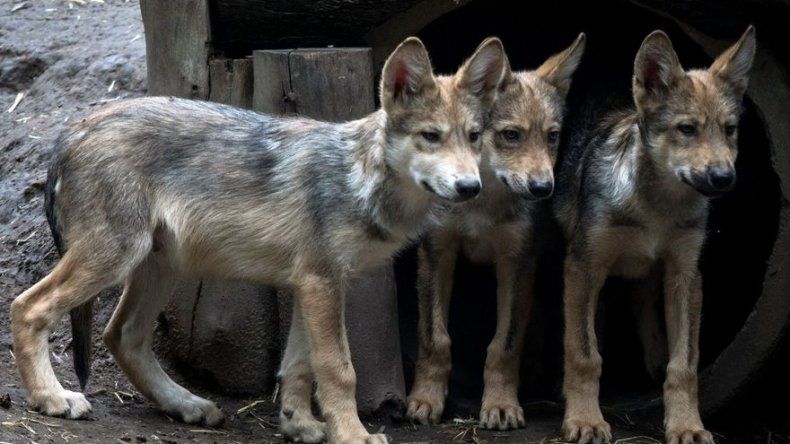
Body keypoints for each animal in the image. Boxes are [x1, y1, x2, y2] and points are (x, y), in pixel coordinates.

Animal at [10, 37, 510, 444]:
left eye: (474, 137)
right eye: (431, 137)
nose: (470, 188)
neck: (359, 178)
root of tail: (76, 127)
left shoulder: (315, 285)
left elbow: (299, 367)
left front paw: (300, 426)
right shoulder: (322, 282)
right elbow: (339, 370)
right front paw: (354, 435)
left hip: (160, 266)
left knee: (122, 335)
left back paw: (187, 405)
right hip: (114, 258)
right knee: (28, 307)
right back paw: (53, 399)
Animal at [405, 34, 586, 430]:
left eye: (552, 136)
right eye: (511, 135)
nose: (542, 188)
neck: (481, 201)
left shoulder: (517, 262)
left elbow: (503, 347)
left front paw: (501, 405)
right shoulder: (436, 253)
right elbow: (434, 339)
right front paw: (425, 399)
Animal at [552, 27, 756, 444]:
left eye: (729, 130)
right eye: (687, 129)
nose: (723, 178)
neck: (656, 210)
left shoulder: (685, 276)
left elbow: (684, 366)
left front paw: (687, 425)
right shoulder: (583, 266)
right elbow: (584, 354)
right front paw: (584, 420)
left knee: (641, 306)